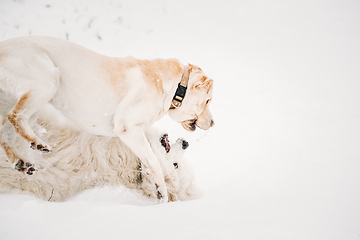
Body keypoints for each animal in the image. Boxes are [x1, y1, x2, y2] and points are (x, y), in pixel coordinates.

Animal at [0, 35, 214, 201]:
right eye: (208, 101)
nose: (213, 123)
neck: (176, 87)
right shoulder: (128, 129)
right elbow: (154, 161)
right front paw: (160, 189)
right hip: (47, 82)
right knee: (14, 115)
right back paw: (37, 144)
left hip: (36, 105)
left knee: (6, 128)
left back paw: (20, 162)